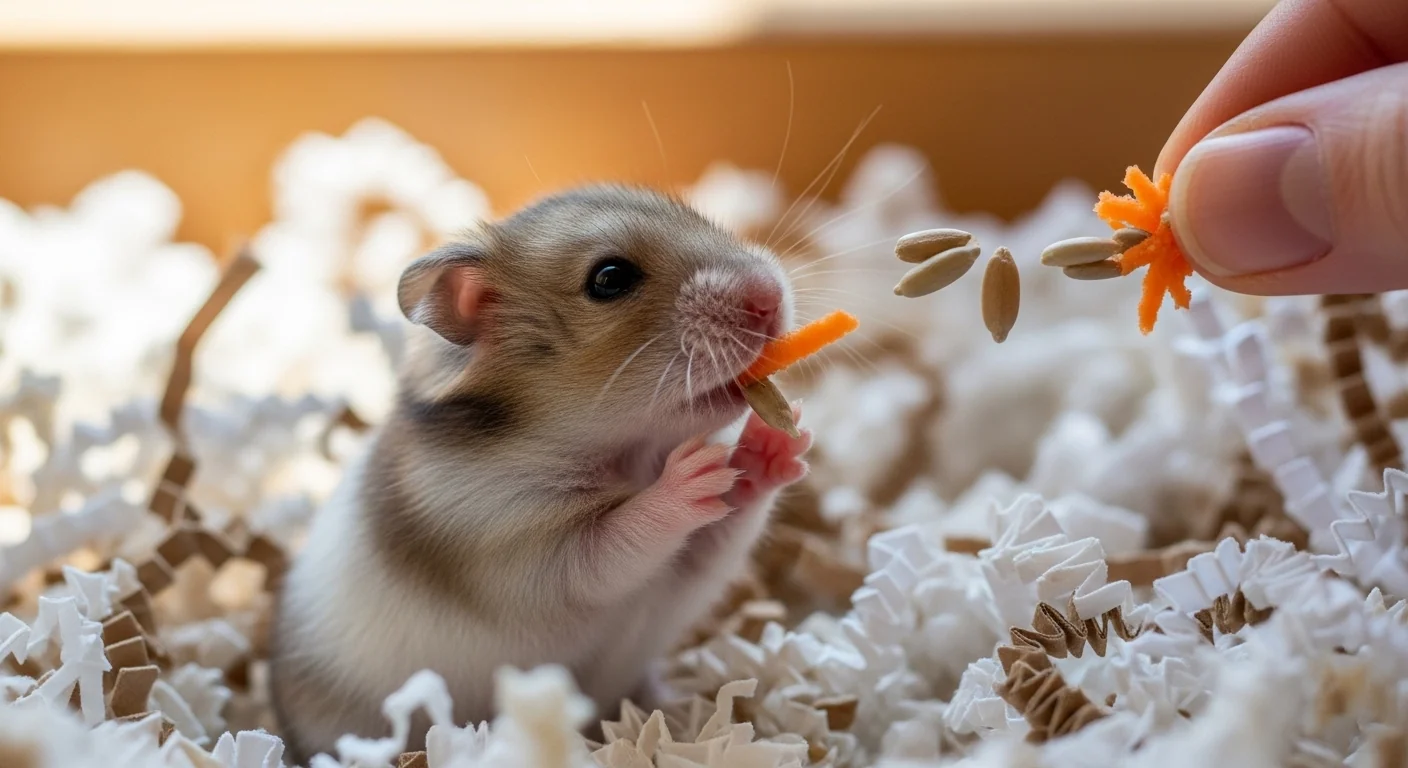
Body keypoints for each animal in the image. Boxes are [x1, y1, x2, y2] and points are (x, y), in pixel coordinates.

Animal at [268, 184, 811, 762]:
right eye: (610, 279)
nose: (771, 297)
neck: (625, 452)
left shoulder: (685, 571)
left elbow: (723, 532)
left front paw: (781, 439)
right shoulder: (519, 546)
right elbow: (612, 543)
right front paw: (692, 473)